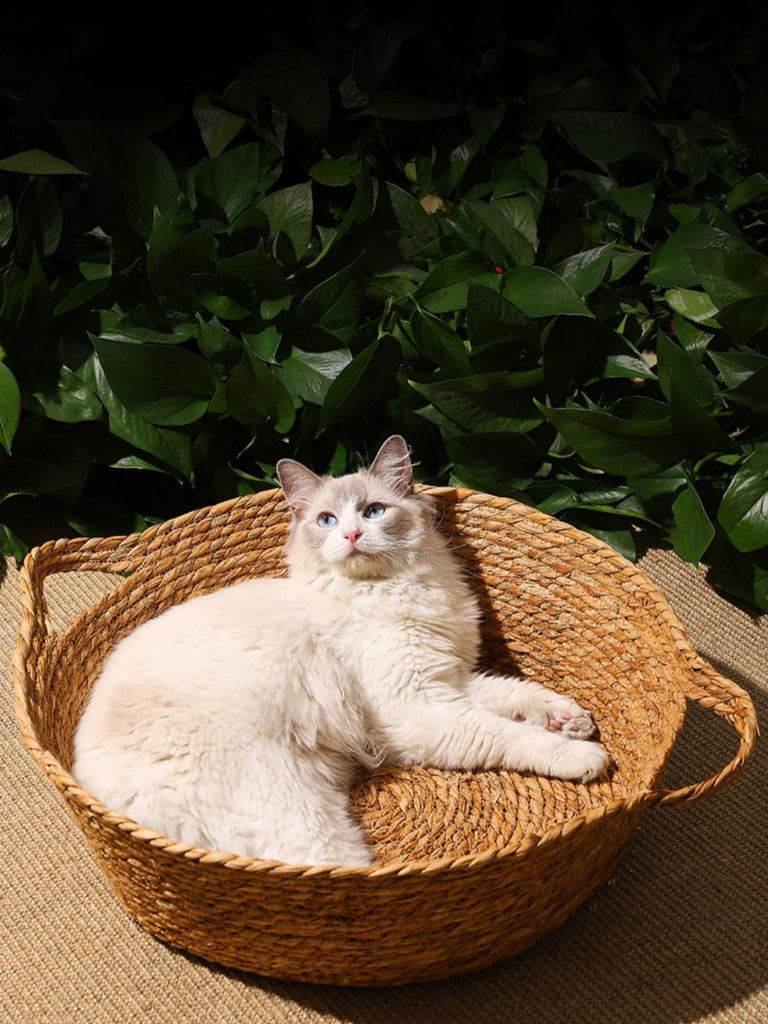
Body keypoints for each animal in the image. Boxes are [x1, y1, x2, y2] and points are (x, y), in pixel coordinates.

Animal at [73, 436, 614, 868]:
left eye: (373, 511)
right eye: (327, 520)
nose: (351, 535)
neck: (388, 590)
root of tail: (92, 787)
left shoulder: (448, 679)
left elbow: (516, 695)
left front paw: (571, 720)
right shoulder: (418, 706)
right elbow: (509, 735)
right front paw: (584, 755)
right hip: (303, 817)